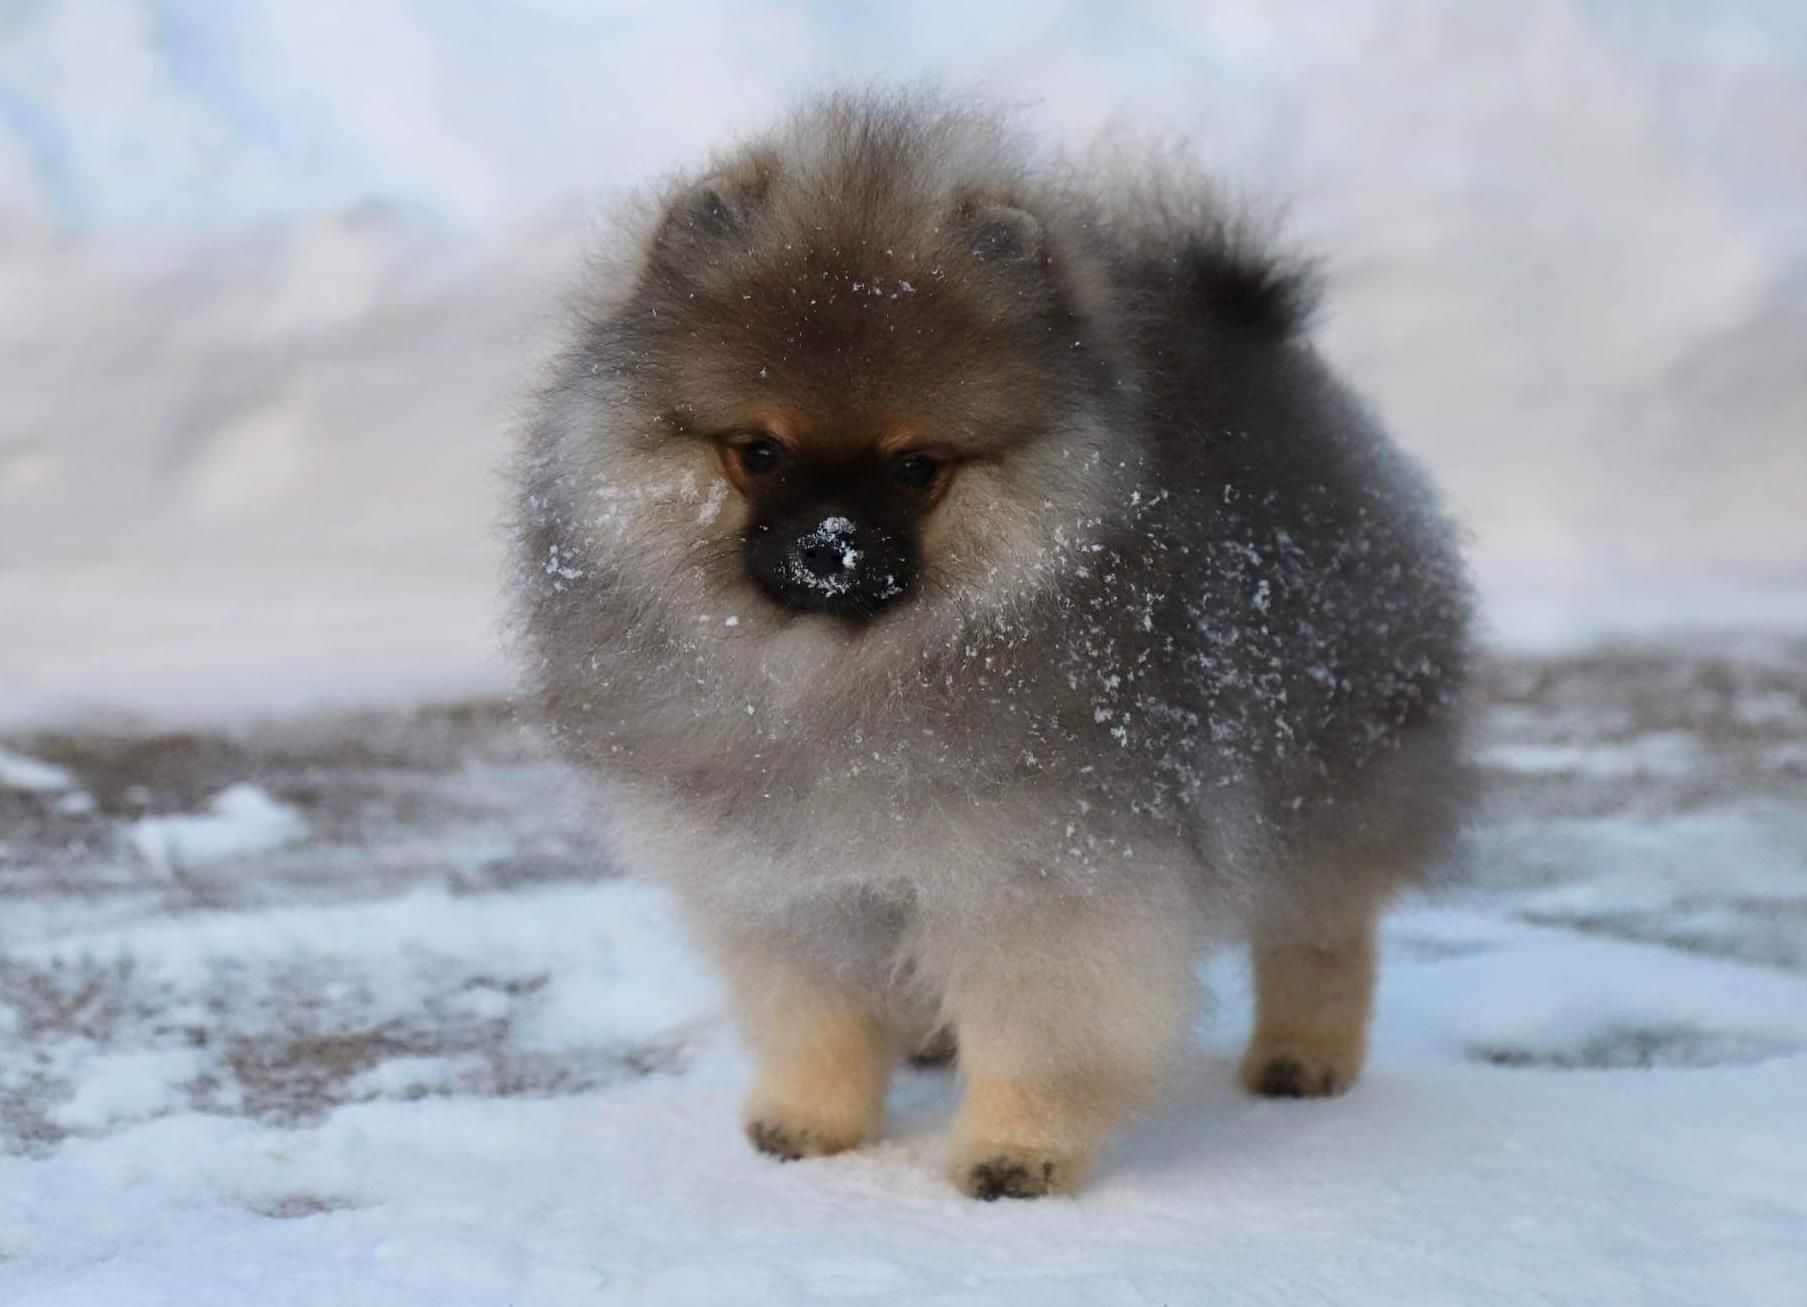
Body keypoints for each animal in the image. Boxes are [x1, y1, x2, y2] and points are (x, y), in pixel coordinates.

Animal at [509, 92, 1467, 1200]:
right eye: (758, 452)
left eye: (915, 467)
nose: (829, 544)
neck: (836, 679)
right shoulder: (786, 884)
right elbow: (817, 1018)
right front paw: (809, 1119)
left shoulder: (1038, 877)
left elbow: (1040, 1033)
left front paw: (1015, 1151)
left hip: (1317, 769)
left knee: (1320, 927)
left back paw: (1303, 1052)